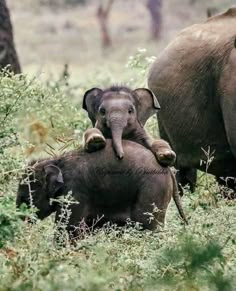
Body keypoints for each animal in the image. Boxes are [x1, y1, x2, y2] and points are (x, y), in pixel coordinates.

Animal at [16, 140, 187, 241]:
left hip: (153, 190)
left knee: (147, 226)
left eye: (26, 198)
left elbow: (69, 227)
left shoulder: (74, 190)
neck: (56, 160)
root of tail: (168, 170)